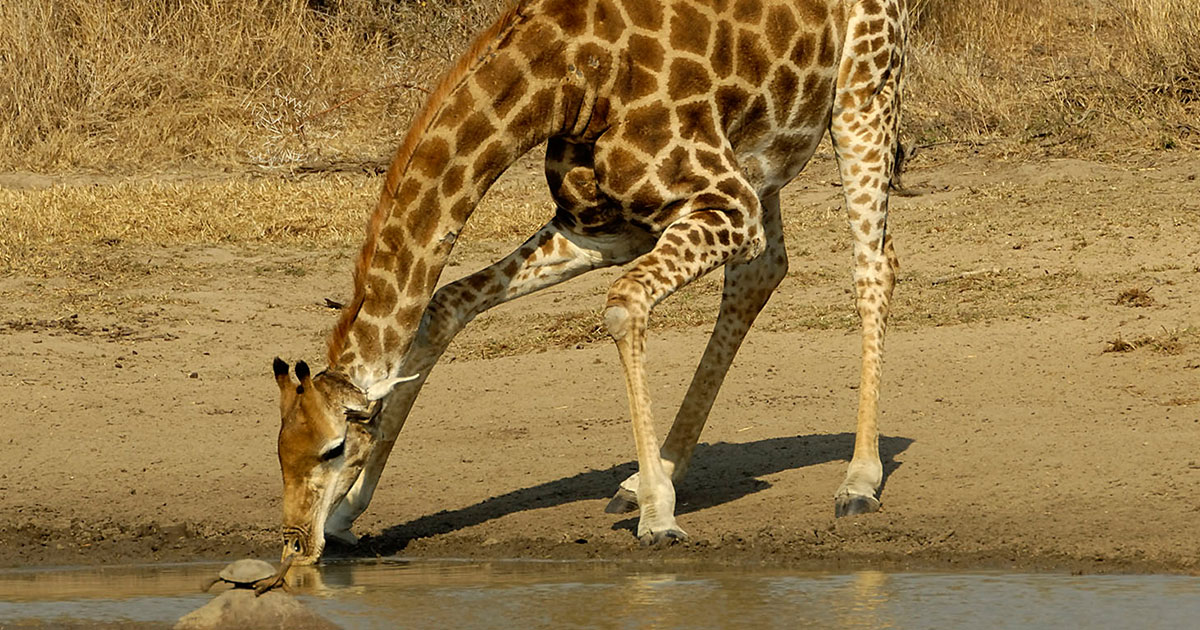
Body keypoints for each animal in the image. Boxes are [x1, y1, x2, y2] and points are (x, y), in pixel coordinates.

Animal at [272, 0, 907, 564]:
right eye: (280, 452)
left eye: (332, 449)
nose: (297, 543)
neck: (565, 82)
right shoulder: (602, 228)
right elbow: (445, 304)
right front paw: (348, 515)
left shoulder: (728, 206)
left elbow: (624, 304)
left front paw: (659, 518)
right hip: (764, 153)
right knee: (761, 273)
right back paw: (648, 476)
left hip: (862, 94)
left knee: (874, 264)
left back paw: (858, 480)